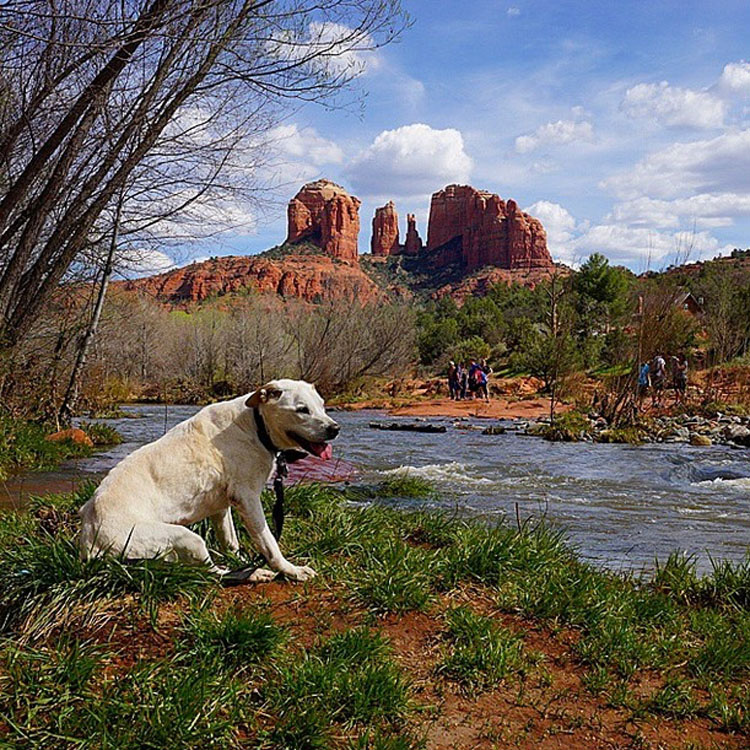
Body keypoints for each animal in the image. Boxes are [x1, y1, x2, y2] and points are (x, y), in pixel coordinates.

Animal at [79, 378, 340, 584]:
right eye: (302, 409)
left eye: (322, 406)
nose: (334, 429)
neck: (255, 425)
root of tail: (89, 542)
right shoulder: (248, 499)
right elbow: (269, 544)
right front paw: (292, 570)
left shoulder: (222, 507)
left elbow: (231, 541)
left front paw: (240, 559)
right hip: (186, 538)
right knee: (212, 574)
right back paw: (253, 574)